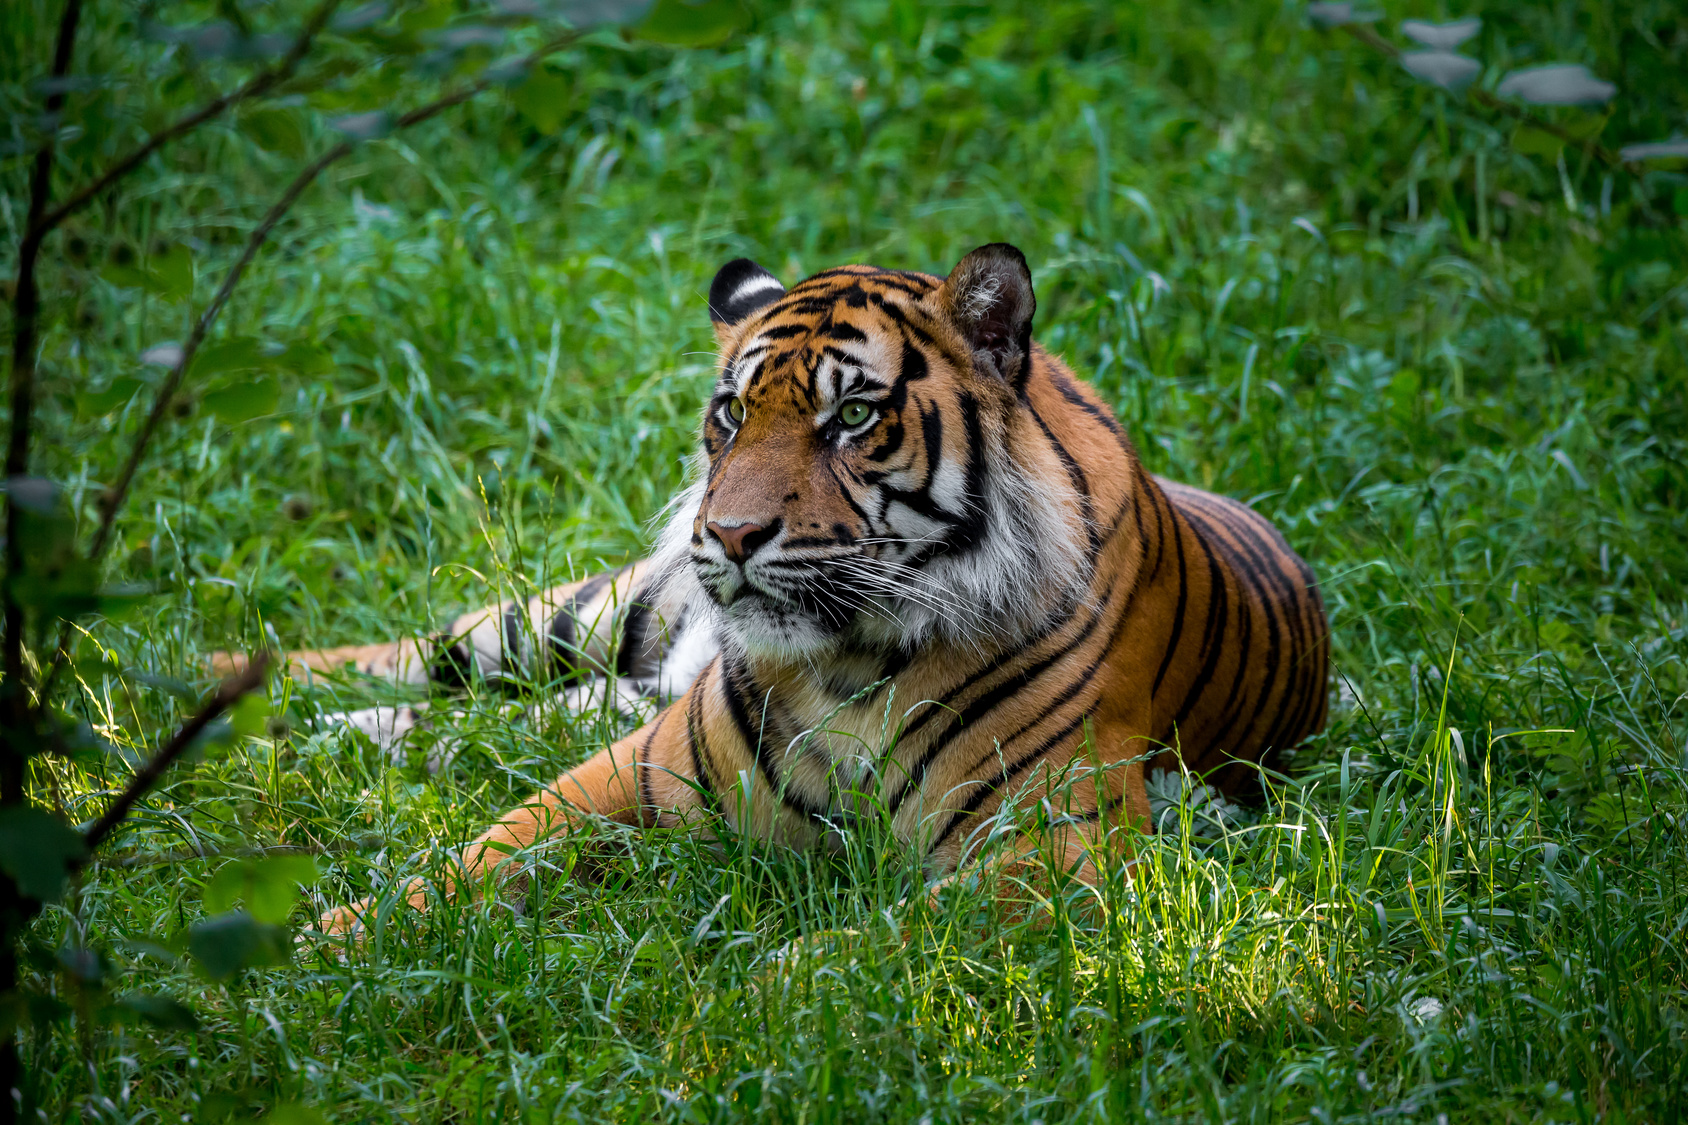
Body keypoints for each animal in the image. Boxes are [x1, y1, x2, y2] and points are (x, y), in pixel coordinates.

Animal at [229, 243, 1330, 935]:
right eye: (730, 412)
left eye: (852, 416)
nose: (728, 533)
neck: (848, 660)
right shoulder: (628, 773)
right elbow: (473, 855)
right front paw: (325, 939)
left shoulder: (1050, 849)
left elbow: (875, 958)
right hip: (594, 618)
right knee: (425, 658)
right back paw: (222, 690)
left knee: (492, 717)